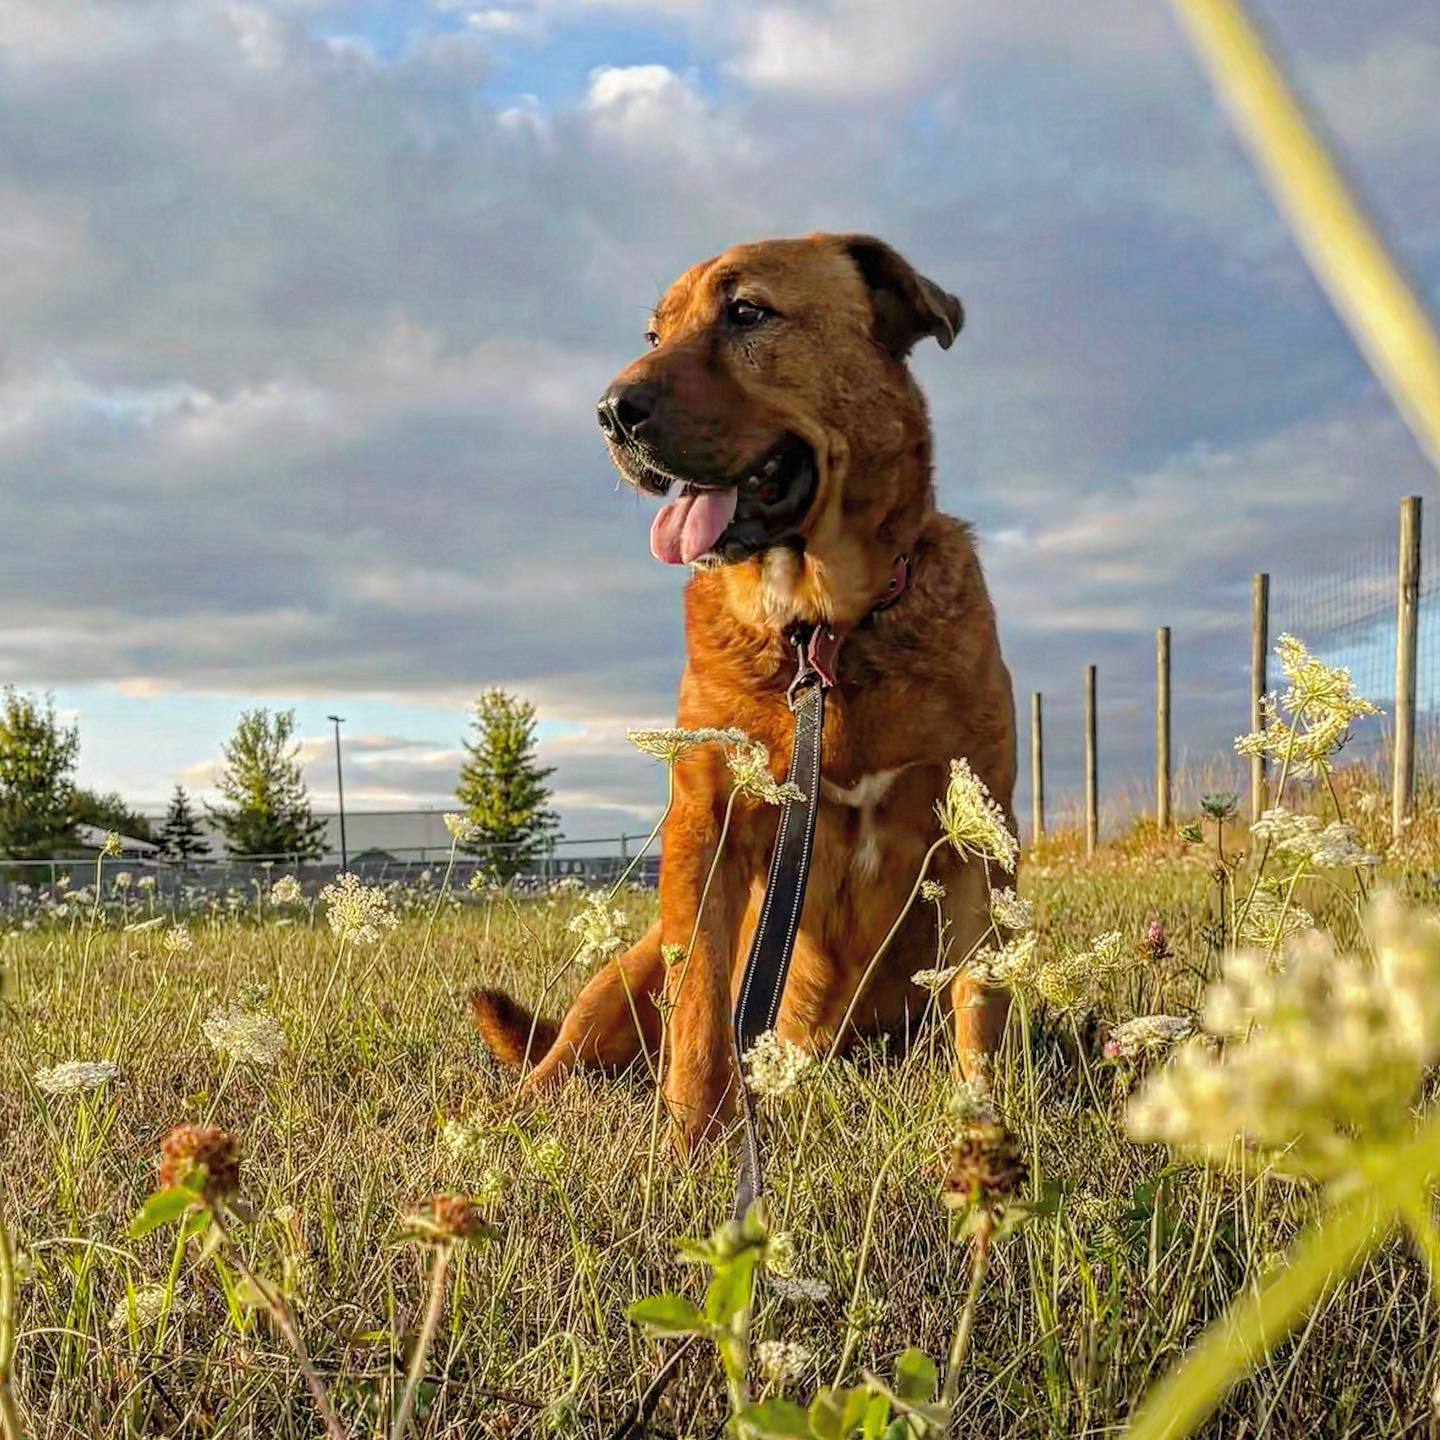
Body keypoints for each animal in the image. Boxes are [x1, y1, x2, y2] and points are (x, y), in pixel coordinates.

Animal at [469, 233, 1013, 1146]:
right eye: (654, 334)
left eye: (748, 312)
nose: (611, 411)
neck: (822, 632)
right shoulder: (707, 824)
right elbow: (700, 1010)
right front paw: (696, 1141)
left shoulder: (978, 834)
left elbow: (983, 1004)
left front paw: (986, 1131)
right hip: (624, 978)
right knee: (565, 1057)